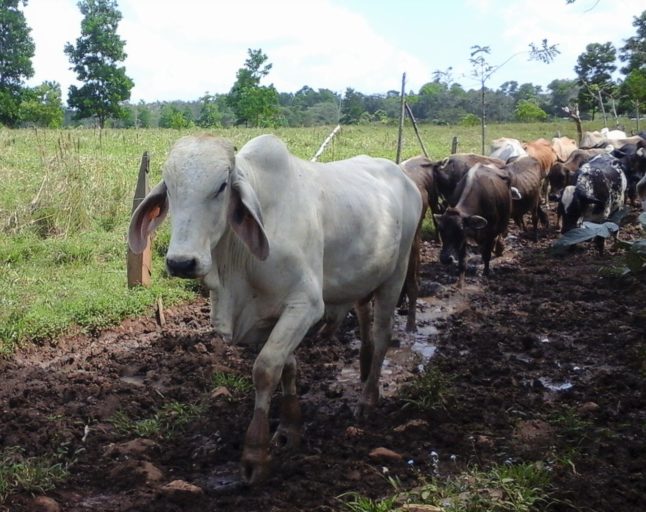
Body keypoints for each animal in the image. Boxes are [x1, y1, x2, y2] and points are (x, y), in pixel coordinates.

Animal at [130, 132, 426, 484]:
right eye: (170, 188)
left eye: (221, 186)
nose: (181, 263)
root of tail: (402, 175)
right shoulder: (264, 318)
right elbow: (288, 366)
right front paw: (289, 430)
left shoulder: (305, 305)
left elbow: (266, 369)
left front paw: (255, 454)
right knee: (366, 324)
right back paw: (366, 373)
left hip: (396, 275)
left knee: (382, 335)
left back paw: (368, 399)